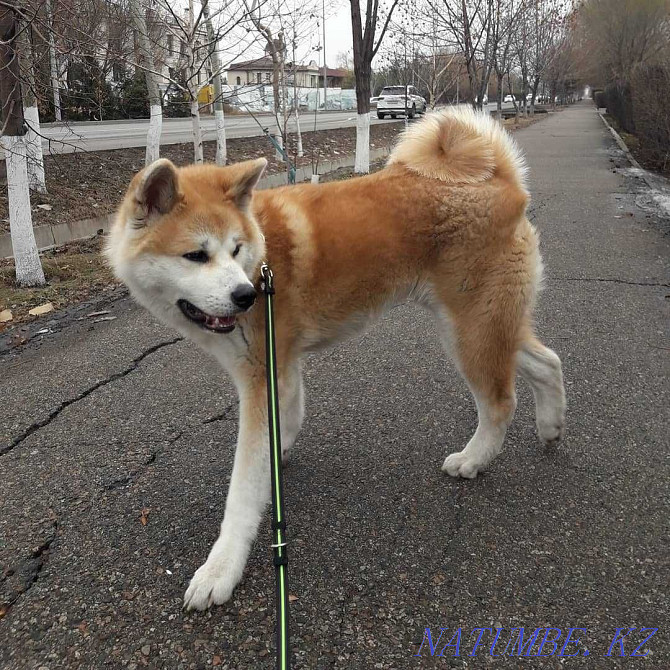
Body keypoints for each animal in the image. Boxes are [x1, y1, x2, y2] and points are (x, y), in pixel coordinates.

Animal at [105, 106, 568, 616]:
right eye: (195, 255)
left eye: (235, 250)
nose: (246, 296)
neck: (262, 258)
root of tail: (502, 180)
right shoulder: (282, 368)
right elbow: (283, 426)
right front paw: (276, 464)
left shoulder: (261, 377)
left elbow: (241, 490)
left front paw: (221, 568)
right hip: (485, 326)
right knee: (548, 362)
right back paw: (551, 425)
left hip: (469, 332)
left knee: (501, 402)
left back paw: (474, 459)